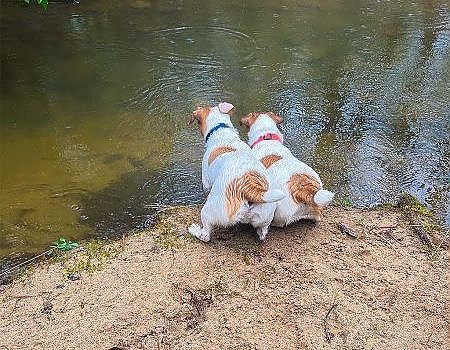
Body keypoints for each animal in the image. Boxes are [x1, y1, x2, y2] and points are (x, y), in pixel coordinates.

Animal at [187, 102, 284, 242]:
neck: (222, 131)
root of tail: (250, 188)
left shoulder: (206, 182)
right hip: (266, 215)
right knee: (263, 232)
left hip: (209, 211)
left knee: (205, 235)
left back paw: (195, 230)